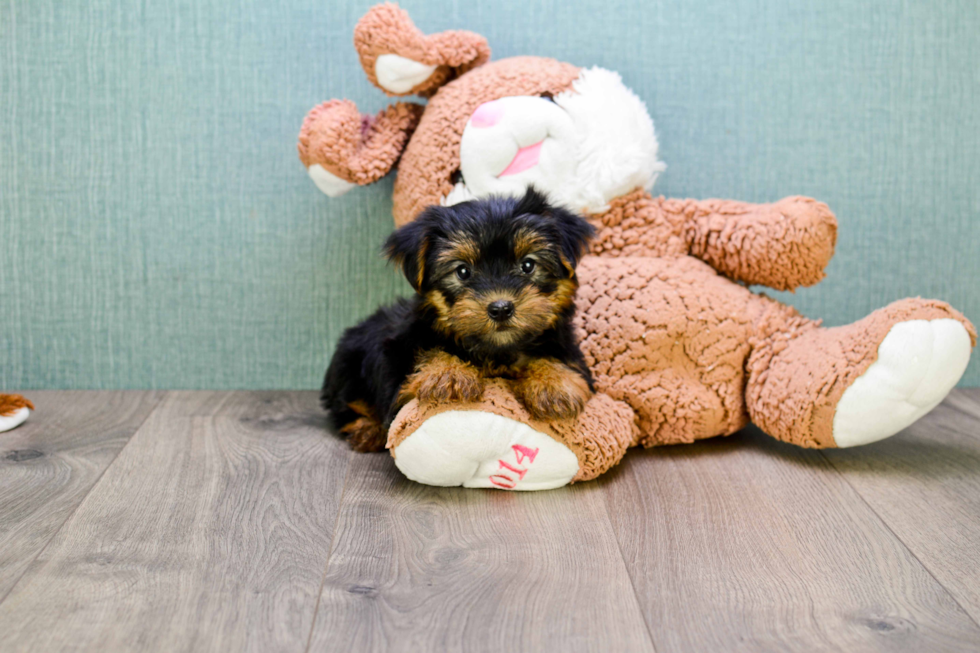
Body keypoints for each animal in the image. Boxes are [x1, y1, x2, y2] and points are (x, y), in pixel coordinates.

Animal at [326, 188, 592, 450]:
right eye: (463, 271)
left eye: (528, 265)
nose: (501, 308)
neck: (497, 351)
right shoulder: (397, 372)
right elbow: (425, 360)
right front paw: (448, 374)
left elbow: (553, 359)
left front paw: (553, 383)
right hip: (349, 368)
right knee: (346, 406)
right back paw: (366, 429)